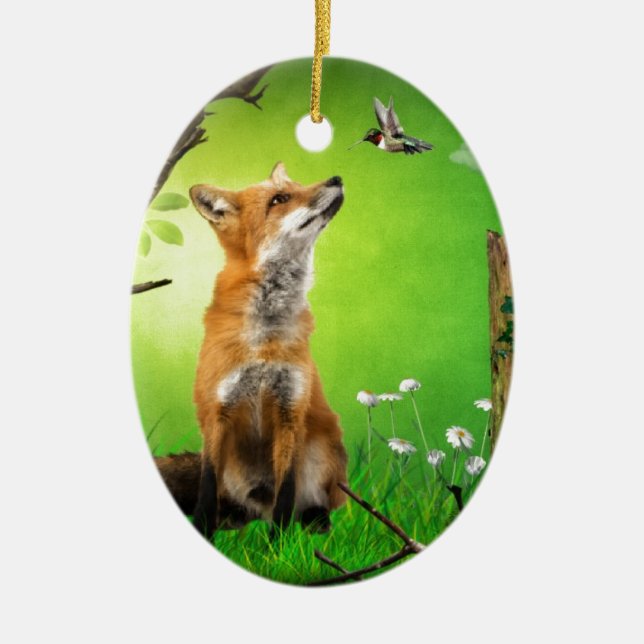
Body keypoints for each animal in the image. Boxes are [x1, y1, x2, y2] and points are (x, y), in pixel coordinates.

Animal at [184, 162, 348, 538]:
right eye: (280, 199)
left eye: (298, 185)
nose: (336, 178)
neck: (264, 343)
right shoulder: (217, 411)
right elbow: (206, 487)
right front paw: (203, 530)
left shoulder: (290, 411)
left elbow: (286, 492)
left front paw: (280, 545)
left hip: (323, 452)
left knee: (315, 504)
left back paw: (313, 525)